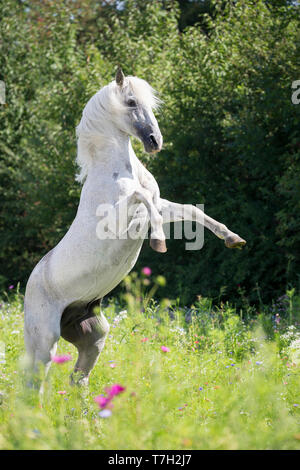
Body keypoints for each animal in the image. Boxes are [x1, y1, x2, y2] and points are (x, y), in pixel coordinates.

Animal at [24, 68, 246, 388]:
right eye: (131, 102)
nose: (155, 141)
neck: (118, 171)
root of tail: (29, 286)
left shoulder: (160, 205)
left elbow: (189, 209)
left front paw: (233, 239)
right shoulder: (116, 219)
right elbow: (140, 197)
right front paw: (159, 242)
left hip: (93, 334)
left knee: (77, 378)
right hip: (44, 340)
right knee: (34, 383)